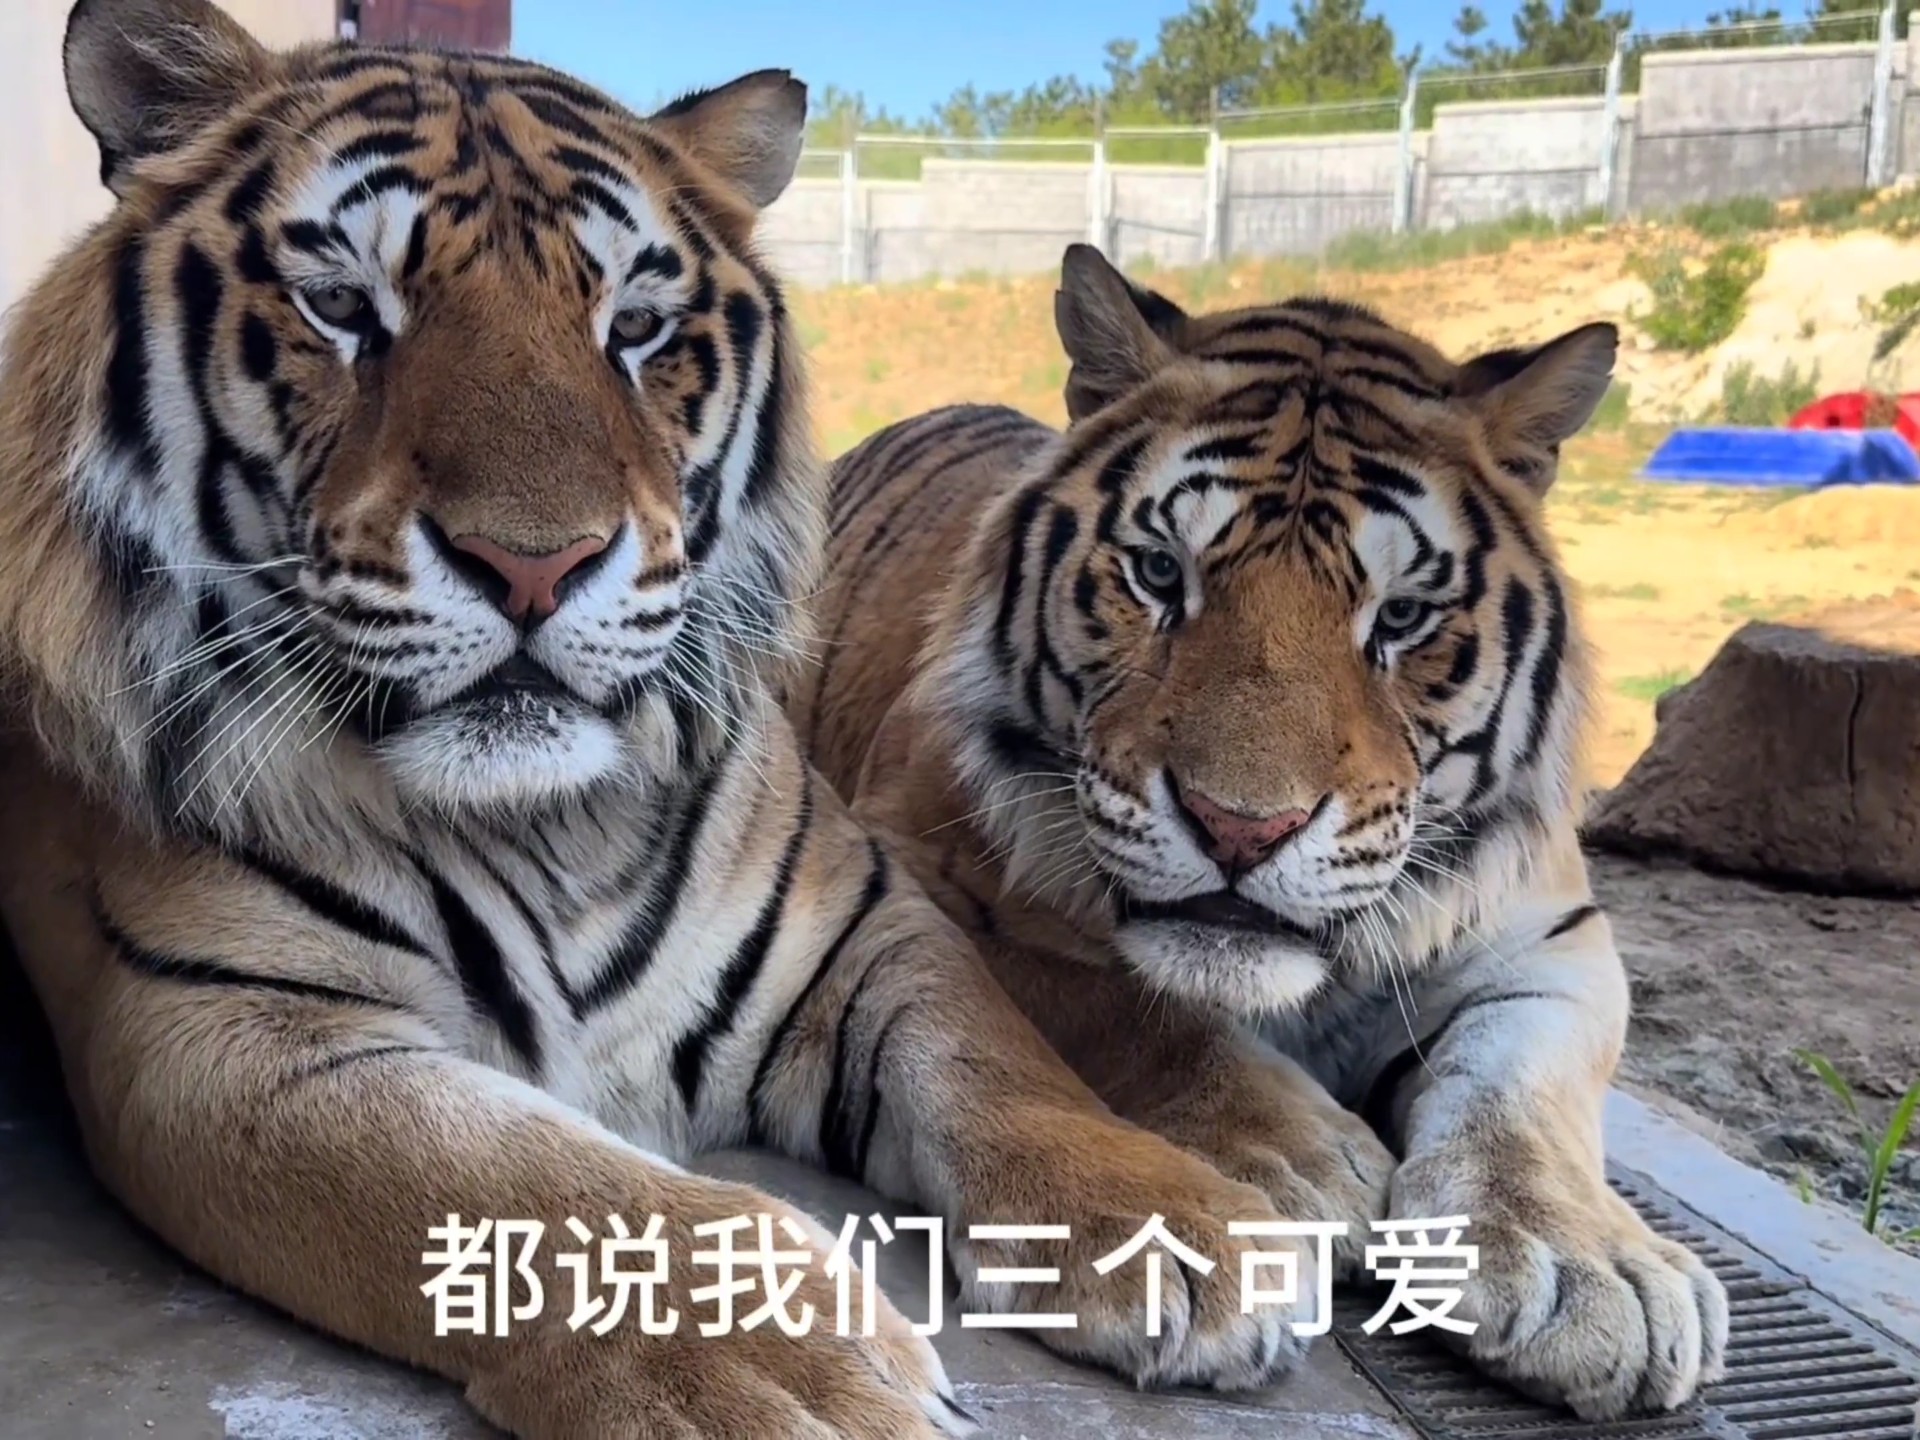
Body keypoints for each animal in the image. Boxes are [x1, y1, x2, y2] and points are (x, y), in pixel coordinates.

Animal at [0, 3, 1335, 1435]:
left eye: (634, 325)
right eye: (343, 306)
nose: (533, 566)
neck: (548, 820)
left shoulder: (872, 926)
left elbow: (1007, 1069)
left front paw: (1182, 1229)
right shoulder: (222, 1025)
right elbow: (508, 1180)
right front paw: (793, 1367)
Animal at [791, 242, 1733, 1421]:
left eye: (1401, 617)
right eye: (1160, 574)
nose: (1243, 829)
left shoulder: (1553, 943)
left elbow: (1525, 1096)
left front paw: (1590, 1270)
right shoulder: (932, 866)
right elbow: (1135, 1003)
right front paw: (1314, 1164)